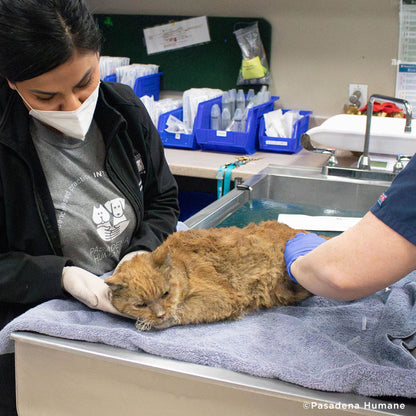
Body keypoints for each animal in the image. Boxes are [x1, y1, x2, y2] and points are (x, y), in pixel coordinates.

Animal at [105, 221, 314, 332]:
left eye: (165, 294)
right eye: (140, 305)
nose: (160, 314)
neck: (184, 267)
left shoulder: (221, 297)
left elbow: (184, 310)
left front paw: (157, 321)